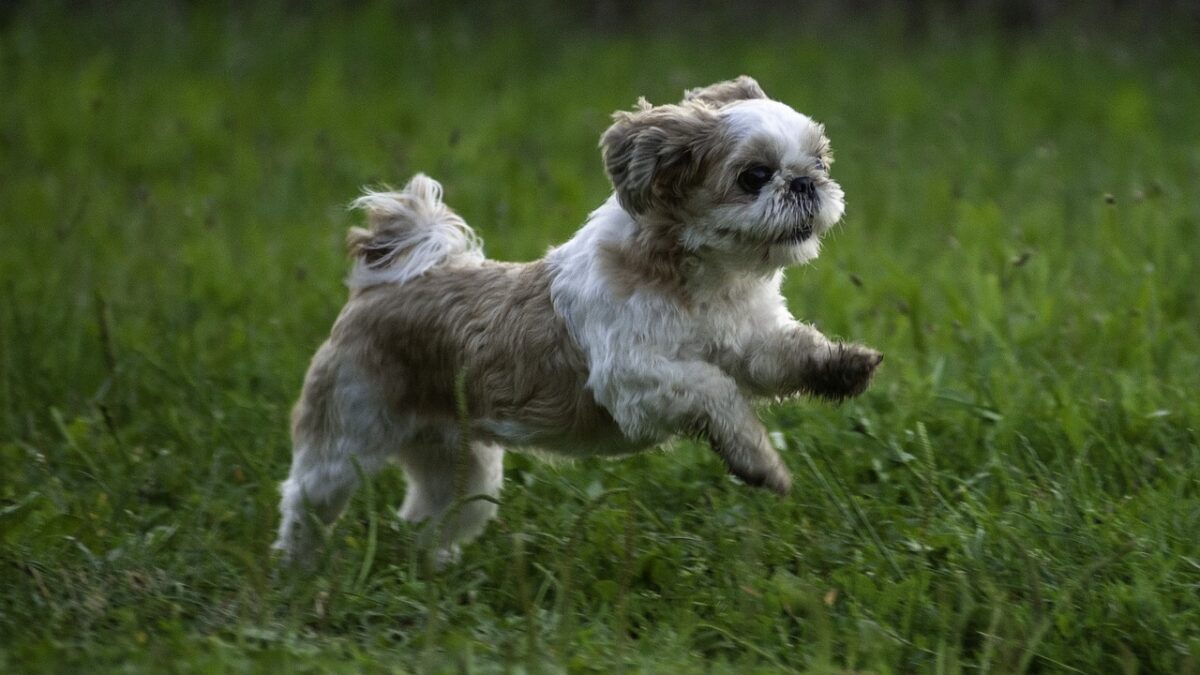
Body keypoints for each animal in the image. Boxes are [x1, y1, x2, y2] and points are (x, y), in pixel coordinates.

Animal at [276, 76, 888, 564]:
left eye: (820, 162)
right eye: (755, 176)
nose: (805, 182)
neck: (704, 280)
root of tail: (381, 284)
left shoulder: (748, 339)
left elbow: (785, 355)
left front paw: (843, 366)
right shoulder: (635, 378)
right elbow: (718, 395)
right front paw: (758, 463)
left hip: (462, 466)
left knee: (433, 518)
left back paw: (433, 572)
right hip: (344, 438)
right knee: (305, 500)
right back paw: (297, 571)